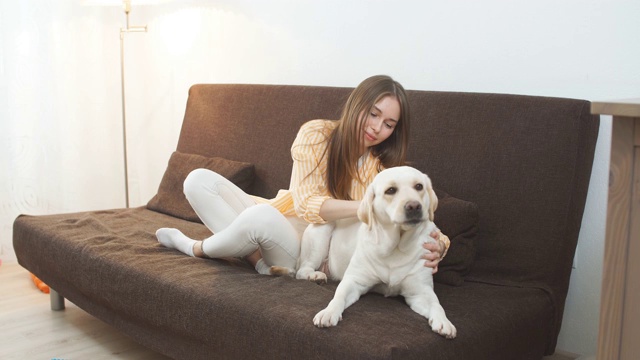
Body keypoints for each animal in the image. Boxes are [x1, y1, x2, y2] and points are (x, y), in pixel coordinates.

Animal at [296, 167, 456, 338]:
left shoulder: (421, 291)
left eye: (419, 186)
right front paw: (328, 312)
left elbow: (436, 304)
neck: (395, 246)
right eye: (390, 190)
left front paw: (444, 322)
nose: (414, 206)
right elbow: (338, 297)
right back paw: (315, 276)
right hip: (321, 234)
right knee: (302, 270)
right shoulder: (354, 281)